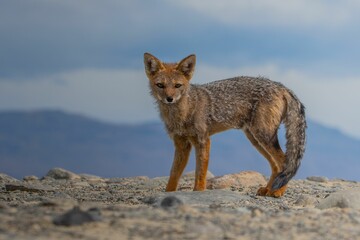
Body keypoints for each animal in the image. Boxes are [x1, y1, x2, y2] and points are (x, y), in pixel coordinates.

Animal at [143, 53, 306, 198]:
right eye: (160, 85)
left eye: (177, 85)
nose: (169, 98)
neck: (184, 112)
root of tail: (280, 85)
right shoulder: (181, 144)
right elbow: (173, 175)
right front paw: (168, 194)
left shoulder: (203, 140)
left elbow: (200, 174)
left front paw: (198, 193)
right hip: (256, 140)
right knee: (276, 166)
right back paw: (268, 189)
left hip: (263, 136)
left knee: (284, 162)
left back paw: (278, 191)